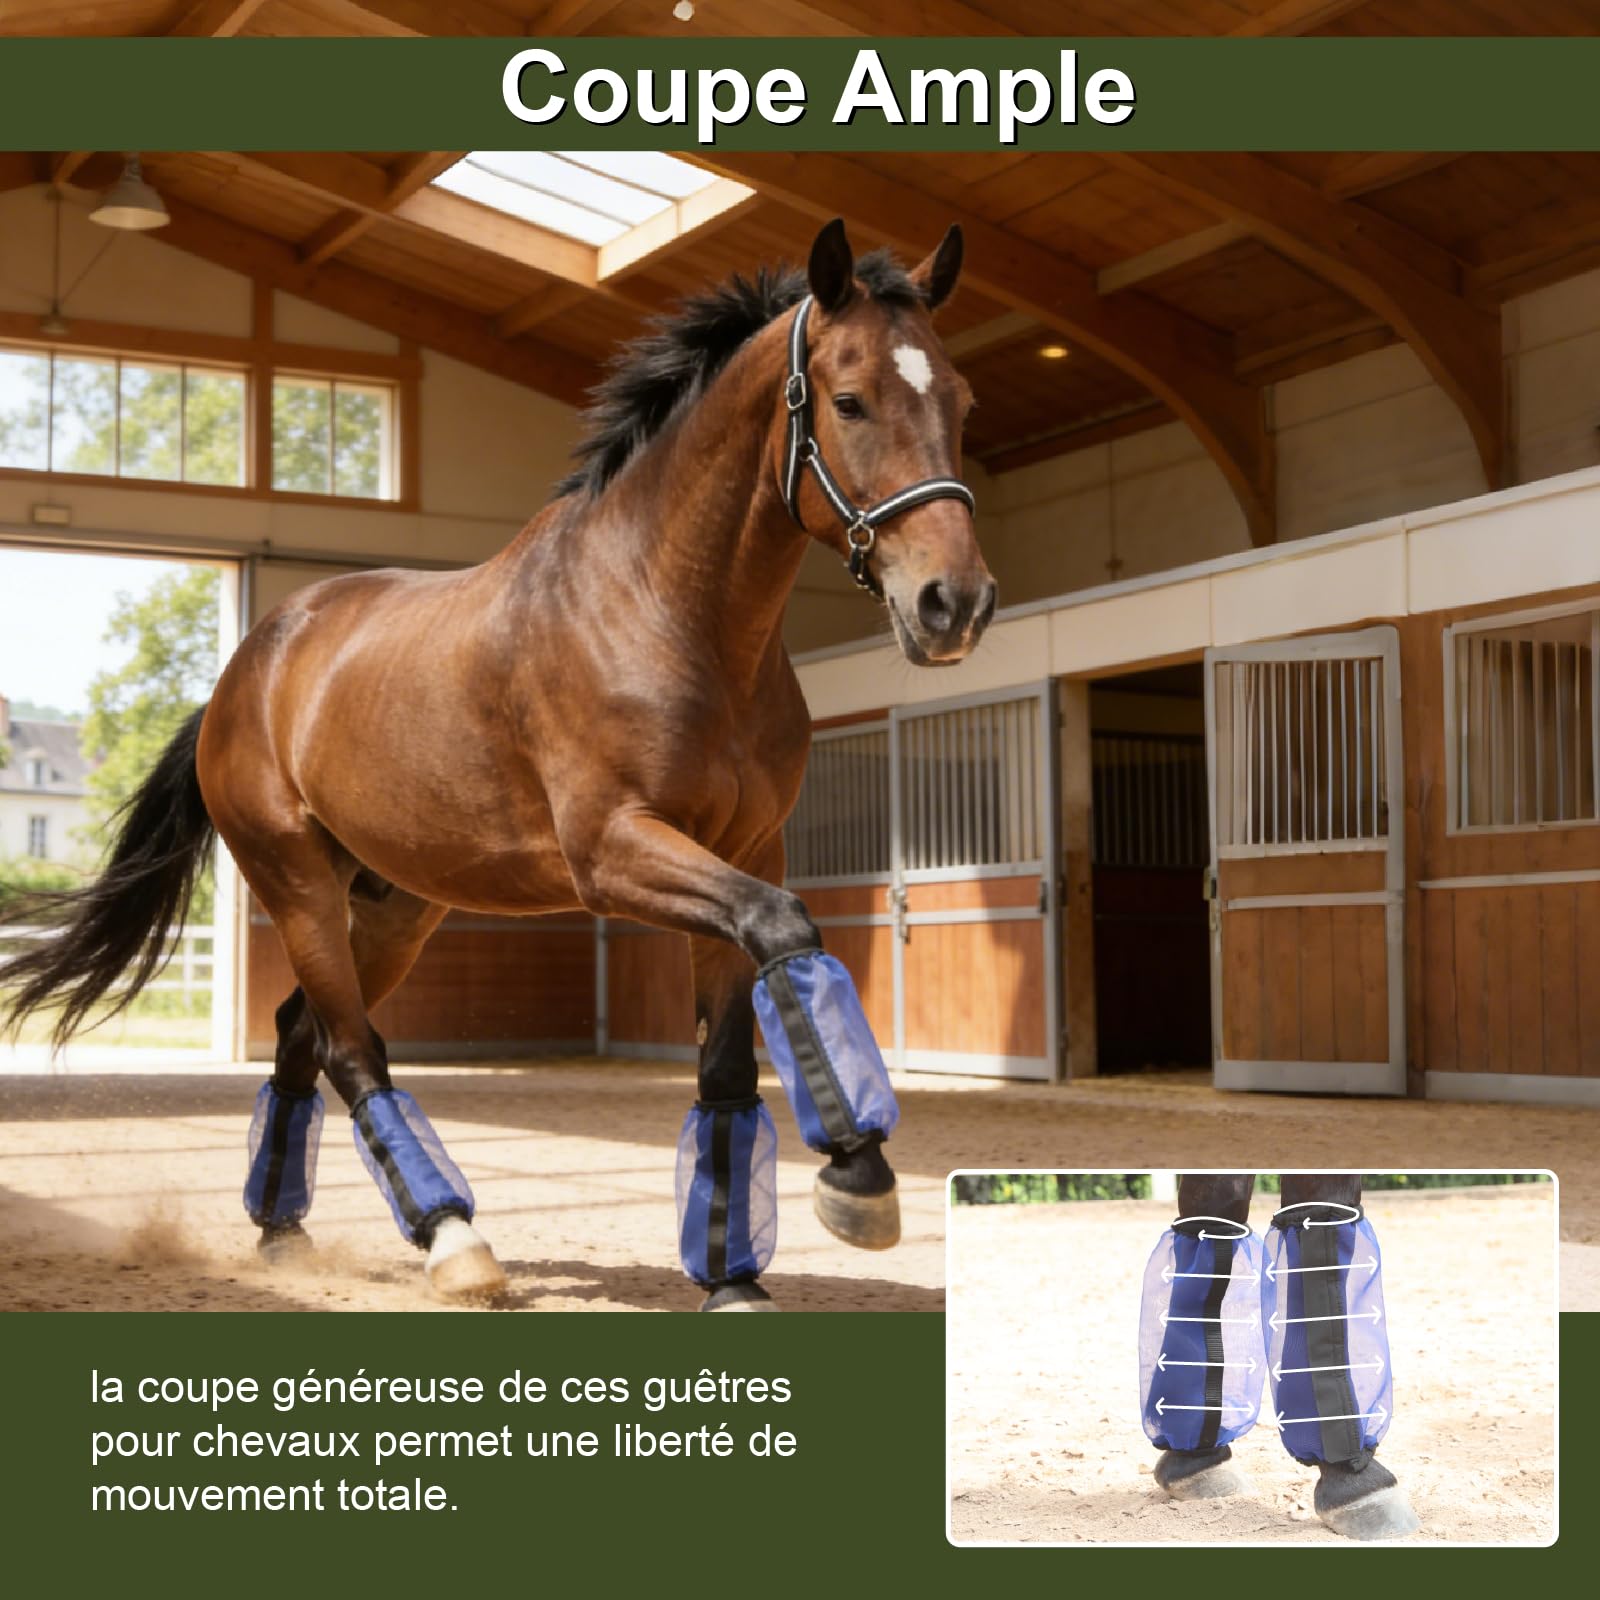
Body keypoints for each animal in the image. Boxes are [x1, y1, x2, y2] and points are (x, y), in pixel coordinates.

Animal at [0, 218, 995, 1311]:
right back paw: (452, 1240)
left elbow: (730, 1060)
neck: (667, 612)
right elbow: (788, 931)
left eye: (960, 400)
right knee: (350, 1047)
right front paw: (859, 1174)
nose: (955, 604)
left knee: (302, 1033)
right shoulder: (615, 851)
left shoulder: (747, 851)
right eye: (849, 399)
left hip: (394, 905)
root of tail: (247, 669)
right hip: (294, 879)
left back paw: (282, 1231)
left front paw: (736, 1277)